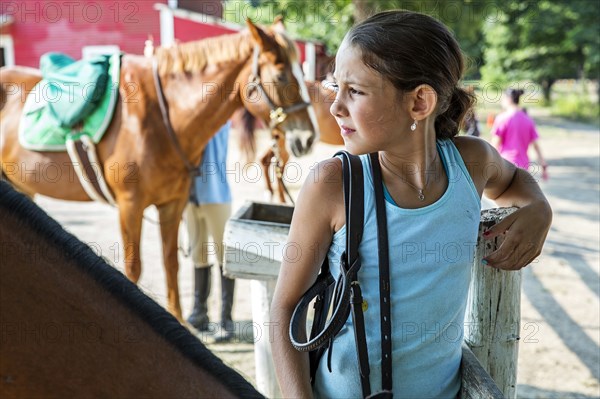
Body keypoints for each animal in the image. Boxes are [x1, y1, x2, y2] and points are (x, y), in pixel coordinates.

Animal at [0, 21, 318, 322]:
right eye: (281, 76)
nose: (308, 138)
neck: (159, 118)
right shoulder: (130, 206)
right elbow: (133, 267)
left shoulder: (172, 205)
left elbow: (171, 262)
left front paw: (179, 319)